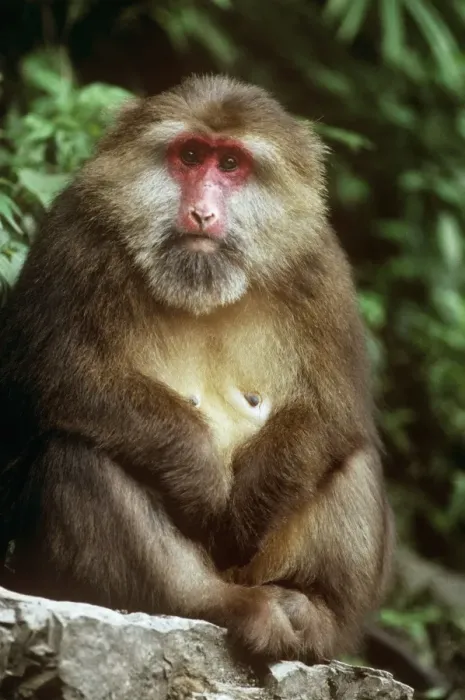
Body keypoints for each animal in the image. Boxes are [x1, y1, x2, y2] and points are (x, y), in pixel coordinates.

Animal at [0, 74, 393, 663]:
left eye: (230, 163)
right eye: (189, 155)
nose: (202, 213)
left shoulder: (319, 265)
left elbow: (335, 410)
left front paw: (249, 508)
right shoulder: (74, 238)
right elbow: (54, 379)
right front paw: (201, 478)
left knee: (348, 457)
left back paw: (313, 609)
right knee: (77, 454)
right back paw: (213, 603)